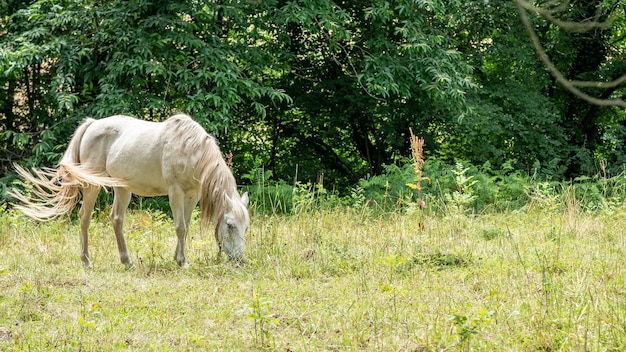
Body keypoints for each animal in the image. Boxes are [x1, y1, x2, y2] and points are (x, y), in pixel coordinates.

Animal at [9, 114, 249, 268]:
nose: (240, 261)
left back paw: (126, 260)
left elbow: (186, 227)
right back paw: (86, 261)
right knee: (84, 217)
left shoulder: (192, 196)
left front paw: (177, 257)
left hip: (122, 188)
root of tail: (92, 125)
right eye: (230, 225)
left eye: (246, 227)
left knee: (116, 219)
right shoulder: (175, 193)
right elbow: (180, 227)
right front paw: (182, 262)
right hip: (92, 185)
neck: (190, 150)